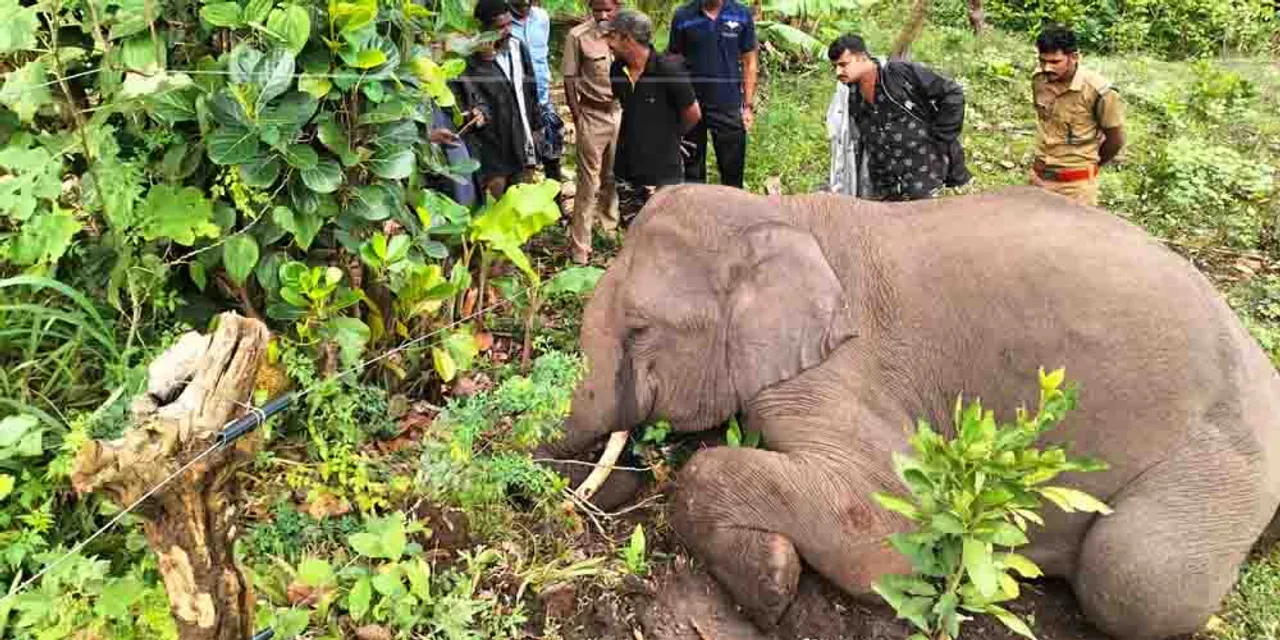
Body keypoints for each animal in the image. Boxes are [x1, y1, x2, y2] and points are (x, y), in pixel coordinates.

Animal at [539, 183, 1280, 640]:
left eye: (639, 329)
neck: (781, 216)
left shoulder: (845, 365)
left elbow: (886, 529)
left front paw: (773, 589)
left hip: (1226, 461)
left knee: (1135, 576)